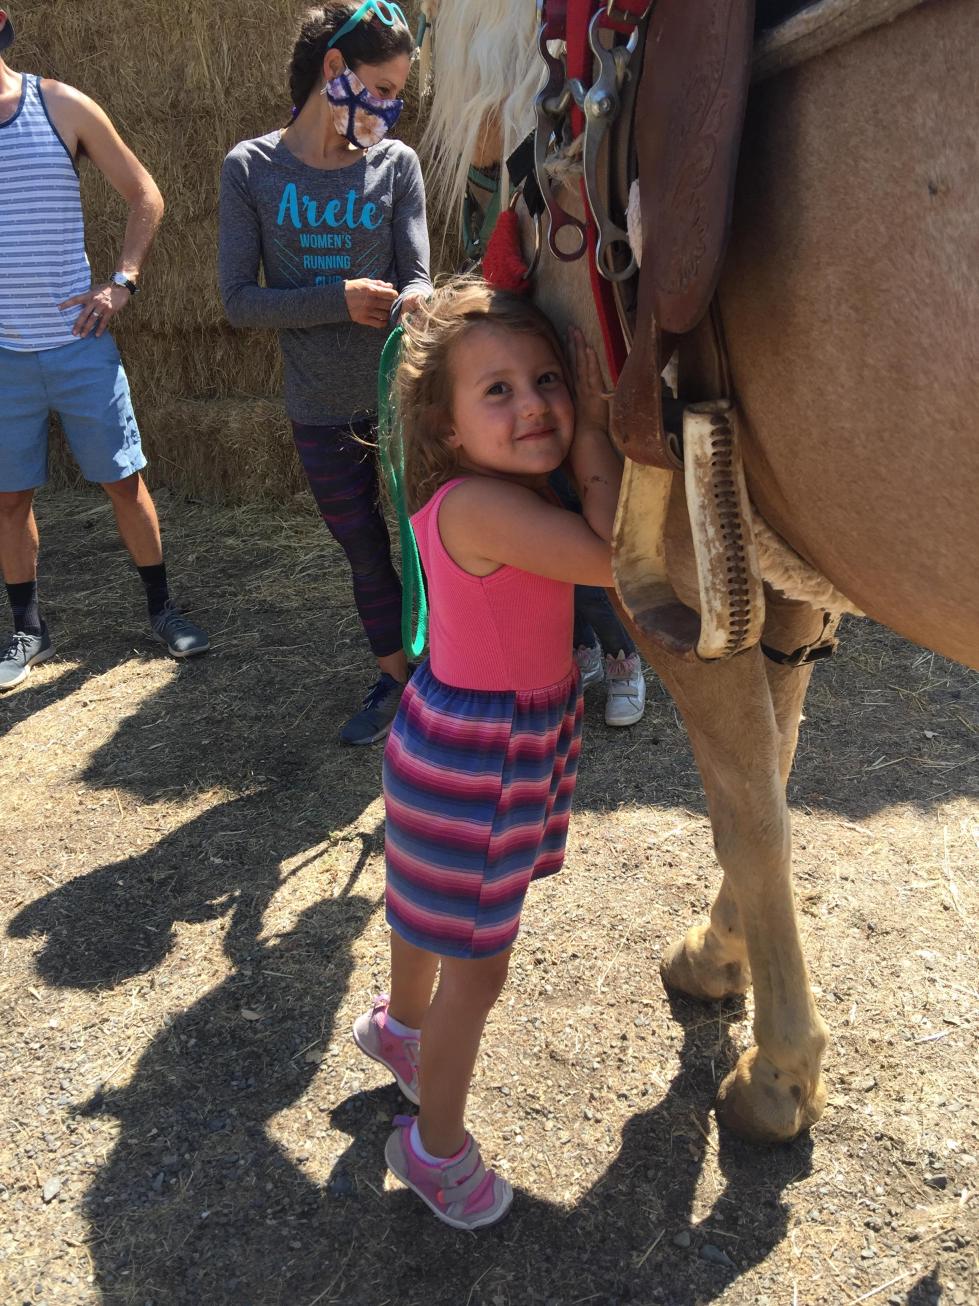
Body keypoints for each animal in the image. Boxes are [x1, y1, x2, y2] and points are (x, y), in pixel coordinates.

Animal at [418, 0, 979, 1143]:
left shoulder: (678, 581)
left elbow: (747, 810)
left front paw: (776, 1073)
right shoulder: (783, 573)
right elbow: (777, 759)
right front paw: (721, 959)